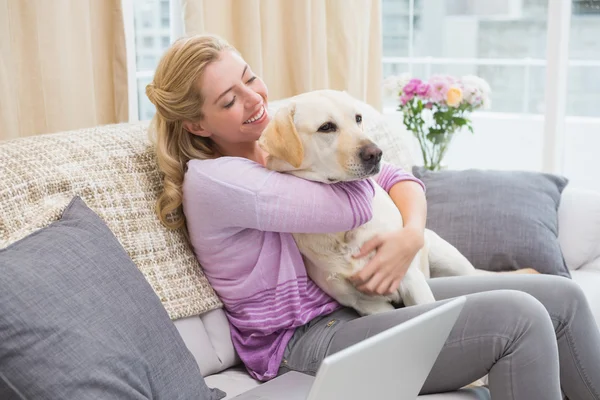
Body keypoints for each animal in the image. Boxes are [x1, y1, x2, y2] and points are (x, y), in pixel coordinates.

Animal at [258, 90, 540, 316]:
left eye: (358, 118)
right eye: (326, 127)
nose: (376, 153)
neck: (344, 234)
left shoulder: (411, 280)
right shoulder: (365, 303)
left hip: (447, 258)